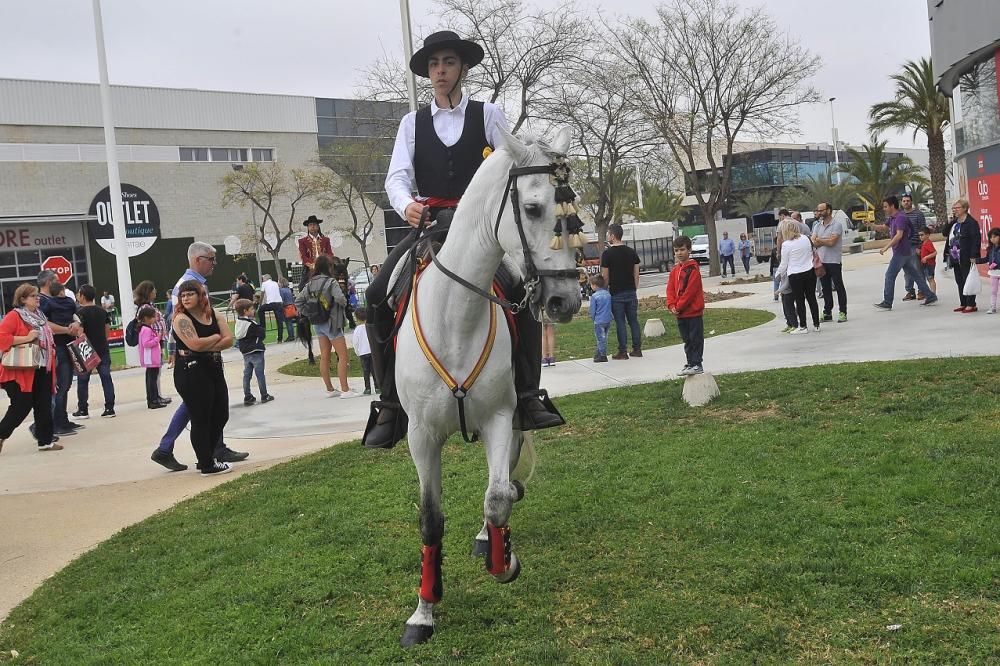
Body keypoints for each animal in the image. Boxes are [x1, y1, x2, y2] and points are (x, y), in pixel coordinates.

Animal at [390, 127, 580, 644]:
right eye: (532, 208)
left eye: (572, 209)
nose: (567, 300)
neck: (455, 317)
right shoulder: (421, 438)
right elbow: (430, 520)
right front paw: (423, 612)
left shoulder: (499, 418)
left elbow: (496, 499)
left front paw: (504, 560)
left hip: (513, 420)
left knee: (503, 481)